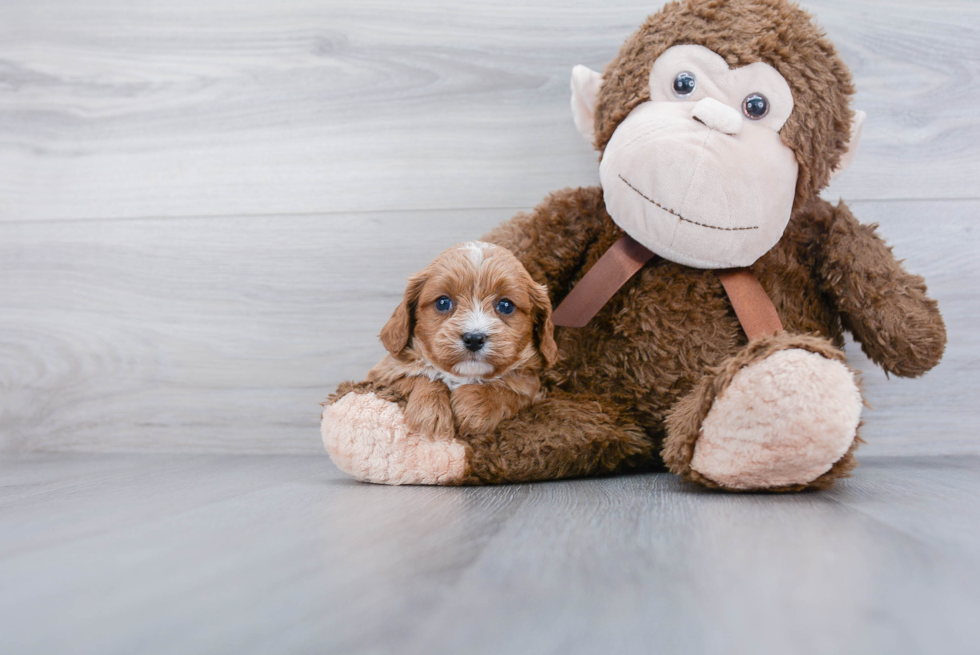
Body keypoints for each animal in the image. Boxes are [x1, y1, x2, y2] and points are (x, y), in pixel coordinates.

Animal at [368, 242, 560, 440]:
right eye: (443, 302)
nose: (474, 339)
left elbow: (510, 391)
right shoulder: (383, 374)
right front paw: (429, 411)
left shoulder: (531, 388)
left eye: (506, 305)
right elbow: (420, 376)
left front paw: (476, 404)